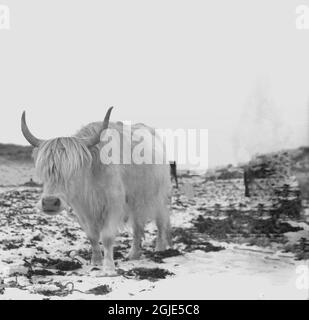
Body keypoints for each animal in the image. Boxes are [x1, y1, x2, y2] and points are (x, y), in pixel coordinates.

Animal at [21, 108, 171, 276]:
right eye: (44, 171)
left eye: (74, 170)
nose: (49, 203)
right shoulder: (81, 208)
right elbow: (92, 235)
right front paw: (96, 260)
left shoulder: (114, 205)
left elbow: (106, 236)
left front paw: (108, 267)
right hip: (136, 200)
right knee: (138, 226)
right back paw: (133, 254)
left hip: (157, 196)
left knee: (161, 220)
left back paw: (159, 248)